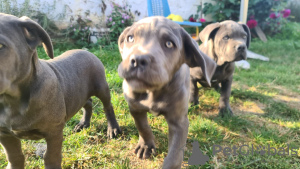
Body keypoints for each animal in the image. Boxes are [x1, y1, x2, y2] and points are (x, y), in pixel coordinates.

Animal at [0, 13, 120, 169]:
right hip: (80, 92)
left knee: (107, 107)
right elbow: (15, 156)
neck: (12, 101)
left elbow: (51, 157)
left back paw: (113, 129)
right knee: (87, 103)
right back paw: (83, 123)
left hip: (101, 87)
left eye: (0, 45)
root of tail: (86, 51)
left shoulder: (54, 132)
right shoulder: (5, 134)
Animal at [117, 16, 216, 169]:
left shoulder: (179, 122)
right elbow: (143, 127)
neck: (153, 90)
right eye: (130, 38)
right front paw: (146, 146)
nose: (138, 60)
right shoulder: (135, 108)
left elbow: (175, 155)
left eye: (169, 44)